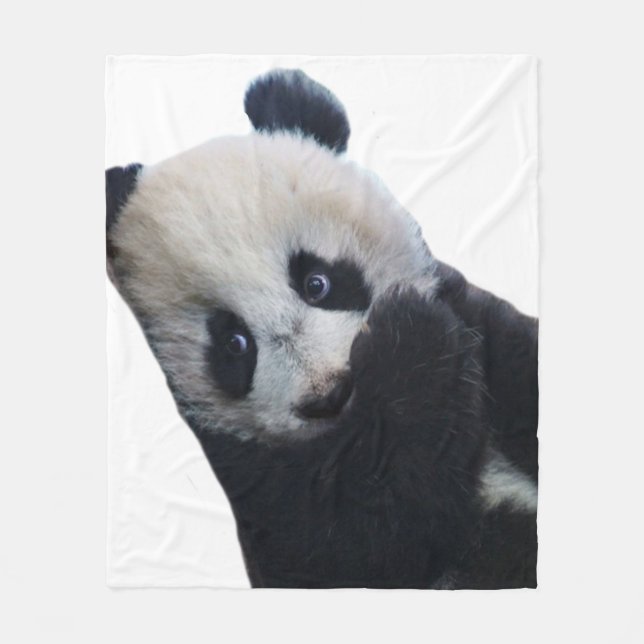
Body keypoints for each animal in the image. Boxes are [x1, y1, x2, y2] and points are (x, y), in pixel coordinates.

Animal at [106, 69, 538, 589]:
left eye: (318, 282)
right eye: (234, 343)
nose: (330, 395)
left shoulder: (481, 327)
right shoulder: (251, 475)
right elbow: (361, 544)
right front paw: (411, 342)